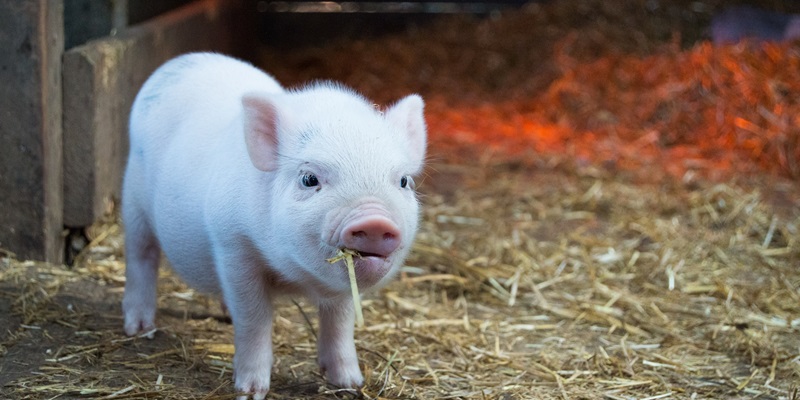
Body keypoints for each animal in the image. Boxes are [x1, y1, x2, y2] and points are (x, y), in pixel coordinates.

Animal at [121, 52, 426, 399]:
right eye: (309, 179)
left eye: (404, 181)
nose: (374, 220)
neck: (295, 277)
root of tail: (181, 61)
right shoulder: (233, 246)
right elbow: (254, 318)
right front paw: (250, 391)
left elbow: (340, 321)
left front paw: (350, 383)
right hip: (133, 199)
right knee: (141, 256)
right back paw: (139, 329)